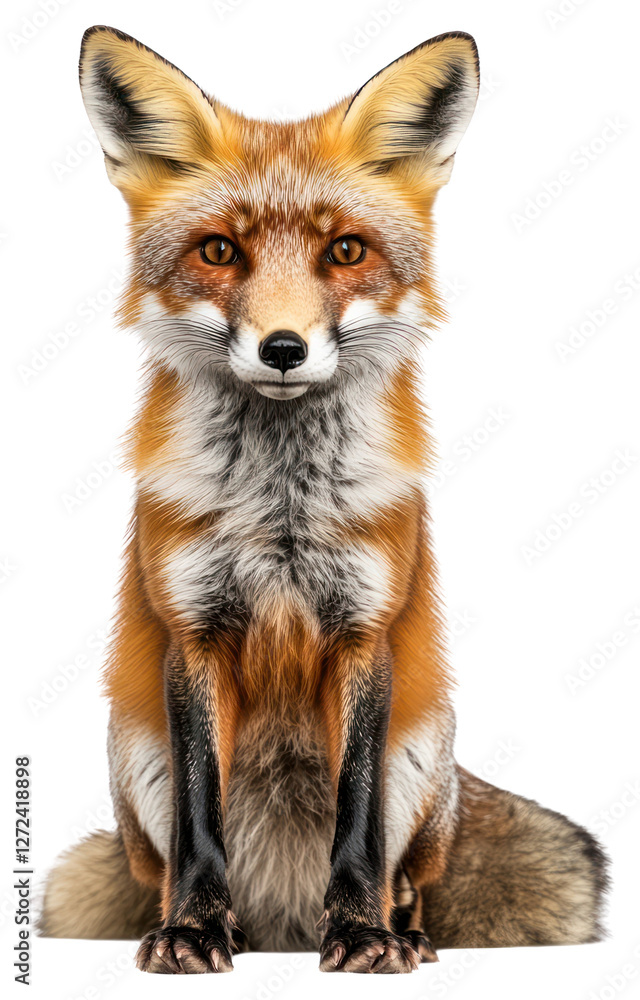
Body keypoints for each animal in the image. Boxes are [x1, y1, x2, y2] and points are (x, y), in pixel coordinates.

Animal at [40, 25, 608, 974]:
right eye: (218, 251)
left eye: (345, 251)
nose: (282, 347)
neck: (282, 515)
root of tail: (282, 921)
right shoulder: (193, 630)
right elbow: (201, 818)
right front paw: (194, 930)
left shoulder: (365, 631)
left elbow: (358, 814)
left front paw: (364, 935)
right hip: (131, 753)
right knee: (164, 864)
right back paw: (215, 923)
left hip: (427, 757)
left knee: (409, 874)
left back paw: (405, 933)